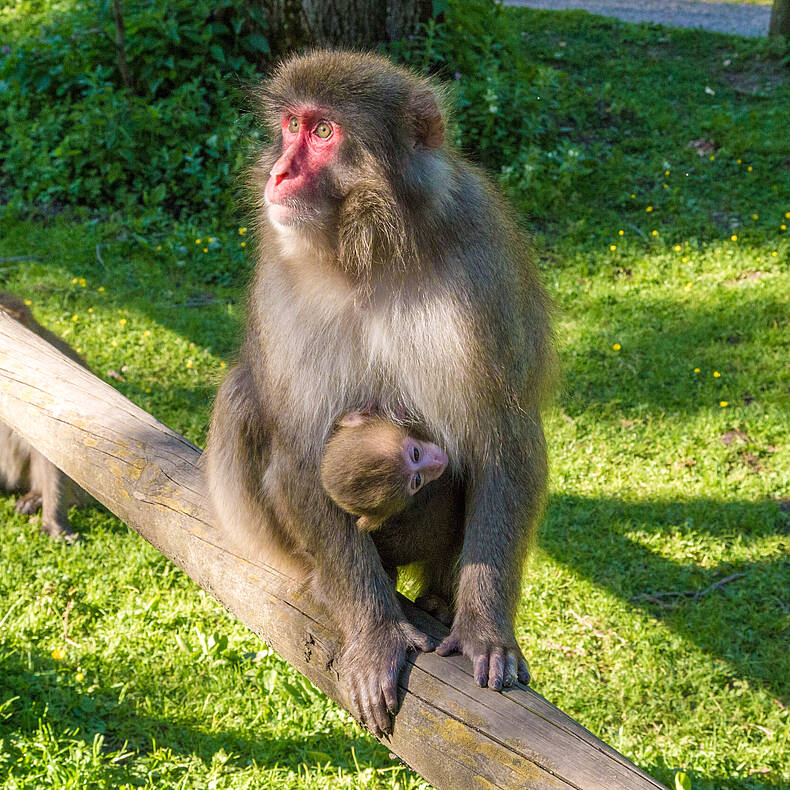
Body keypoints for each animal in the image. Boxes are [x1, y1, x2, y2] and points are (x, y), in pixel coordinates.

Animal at [207, 52, 552, 740]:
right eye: (290, 125)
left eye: (323, 133)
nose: (280, 172)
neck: (372, 251)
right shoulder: (283, 281)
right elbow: (300, 455)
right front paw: (373, 636)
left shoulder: (482, 267)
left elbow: (503, 438)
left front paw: (485, 630)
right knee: (242, 397)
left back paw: (444, 598)